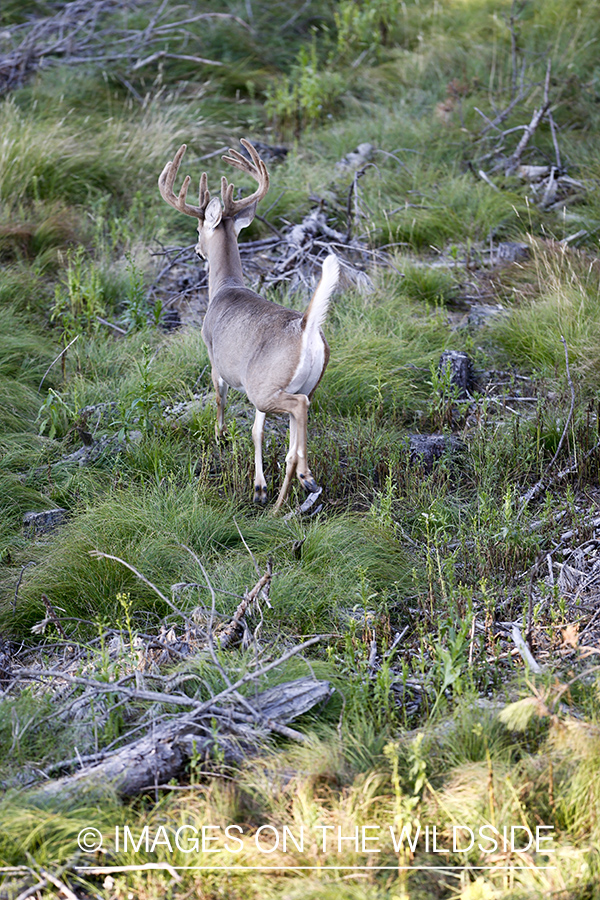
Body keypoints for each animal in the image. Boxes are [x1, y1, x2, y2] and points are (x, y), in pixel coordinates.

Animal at [158, 140, 339, 513]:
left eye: (198, 229)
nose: (197, 250)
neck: (225, 287)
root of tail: (305, 327)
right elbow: (257, 430)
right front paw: (259, 487)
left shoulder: (215, 357)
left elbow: (220, 399)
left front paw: (220, 436)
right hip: (299, 384)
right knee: (293, 442)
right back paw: (285, 500)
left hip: (266, 388)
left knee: (298, 412)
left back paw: (306, 478)